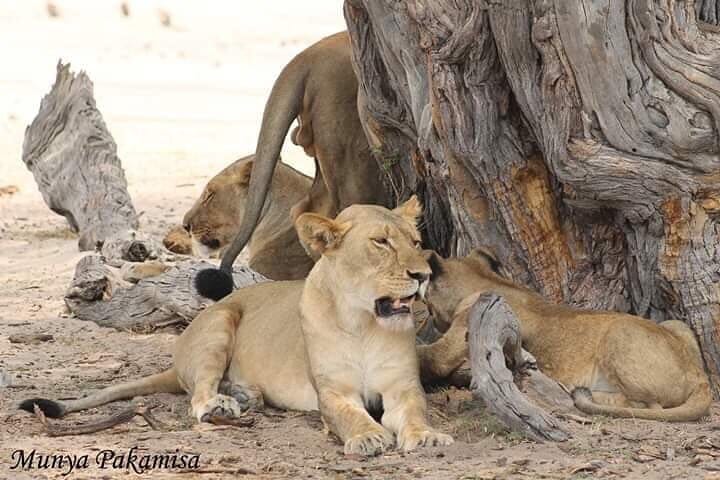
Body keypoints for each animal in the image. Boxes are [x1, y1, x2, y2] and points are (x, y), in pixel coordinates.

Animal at [21, 198, 453, 455]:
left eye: (416, 242)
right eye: (381, 242)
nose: (423, 275)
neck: (363, 321)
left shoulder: (403, 386)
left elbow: (416, 411)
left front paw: (426, 436)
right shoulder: (332, 392)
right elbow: (350, 416)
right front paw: (367, 436)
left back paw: (245, 395)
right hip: (219, 323)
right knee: (197, 397)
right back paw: (223, 404)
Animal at [422, 249, 712, 422]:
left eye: (428, 303)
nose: (431, 319)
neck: (486, 281)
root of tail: (700, 376)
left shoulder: (456, 339)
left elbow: (429, 357)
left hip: (618, 334)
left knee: (648, 407)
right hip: (677, 324)